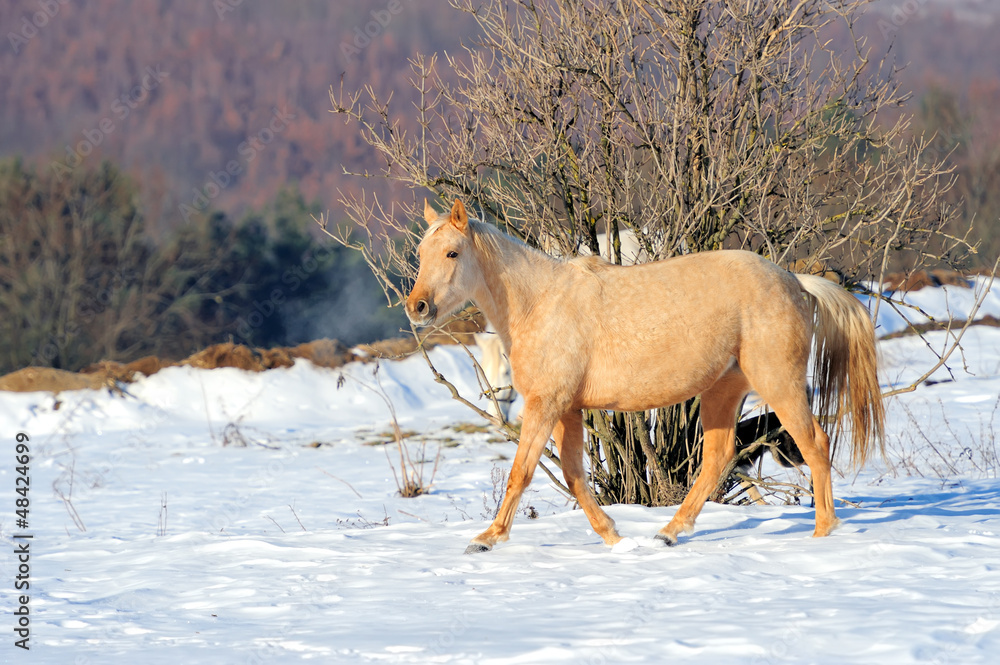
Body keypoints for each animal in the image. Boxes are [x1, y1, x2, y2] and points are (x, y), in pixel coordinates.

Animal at [406, 199, 884, 553]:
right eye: (421, 254)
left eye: (452, 253)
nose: (417, 308)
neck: (539, 303)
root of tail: (795, 281)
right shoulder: (569, 409)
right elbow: (575, 476)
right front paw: (613, 537)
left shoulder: (547, 404)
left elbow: (521, 472)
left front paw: (487, 539)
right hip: (723, 390)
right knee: (718, 457)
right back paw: (669, 533)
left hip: (778, 383)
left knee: (815, 443)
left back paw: (823, 532)